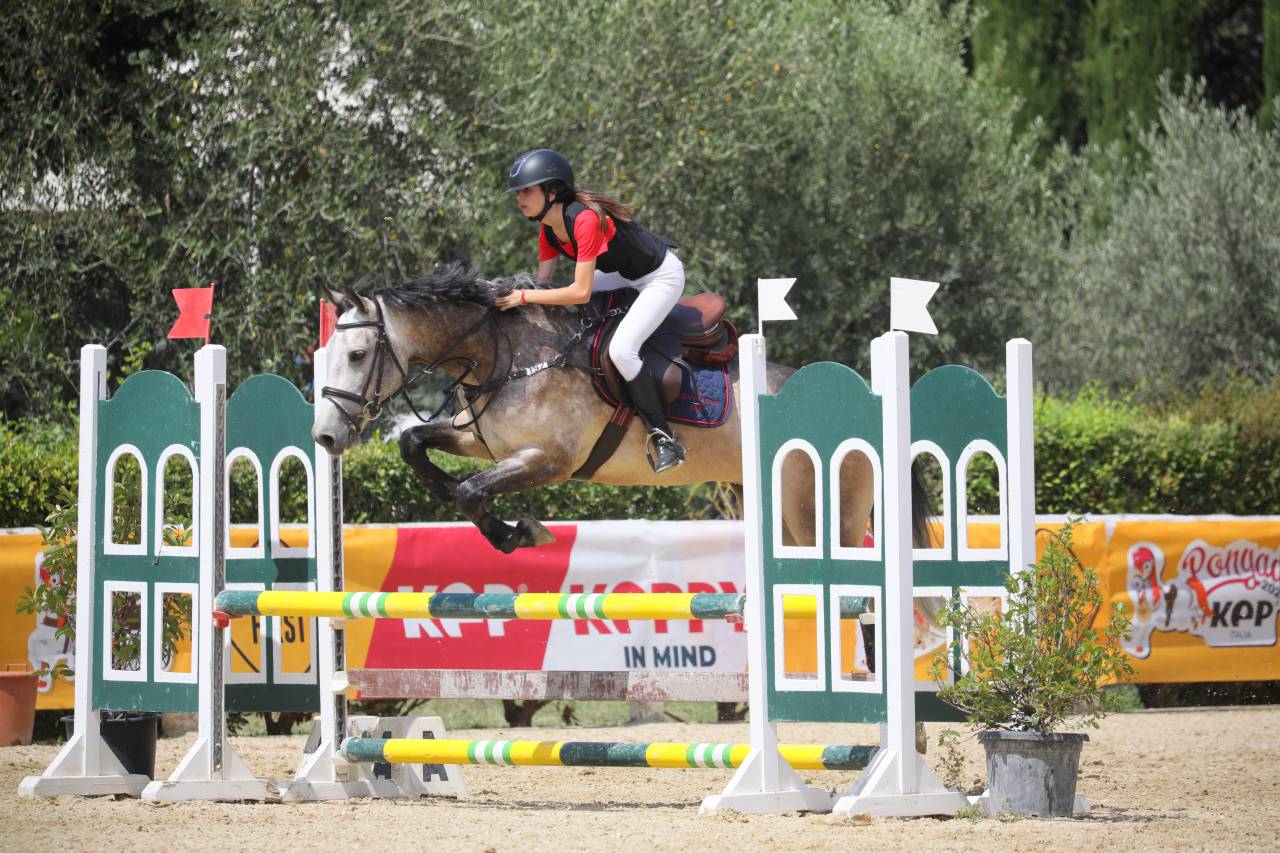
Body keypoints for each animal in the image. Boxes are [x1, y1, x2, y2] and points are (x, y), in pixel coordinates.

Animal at [311, 263, 928, 554]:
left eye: (359, 354)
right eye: (327, 355)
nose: (326, 438)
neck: (502, 352)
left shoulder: (550, 460)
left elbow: (472, 491)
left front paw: (518, 533)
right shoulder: (484, 442)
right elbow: (417, 445)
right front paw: (458, 500)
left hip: (821, 515)